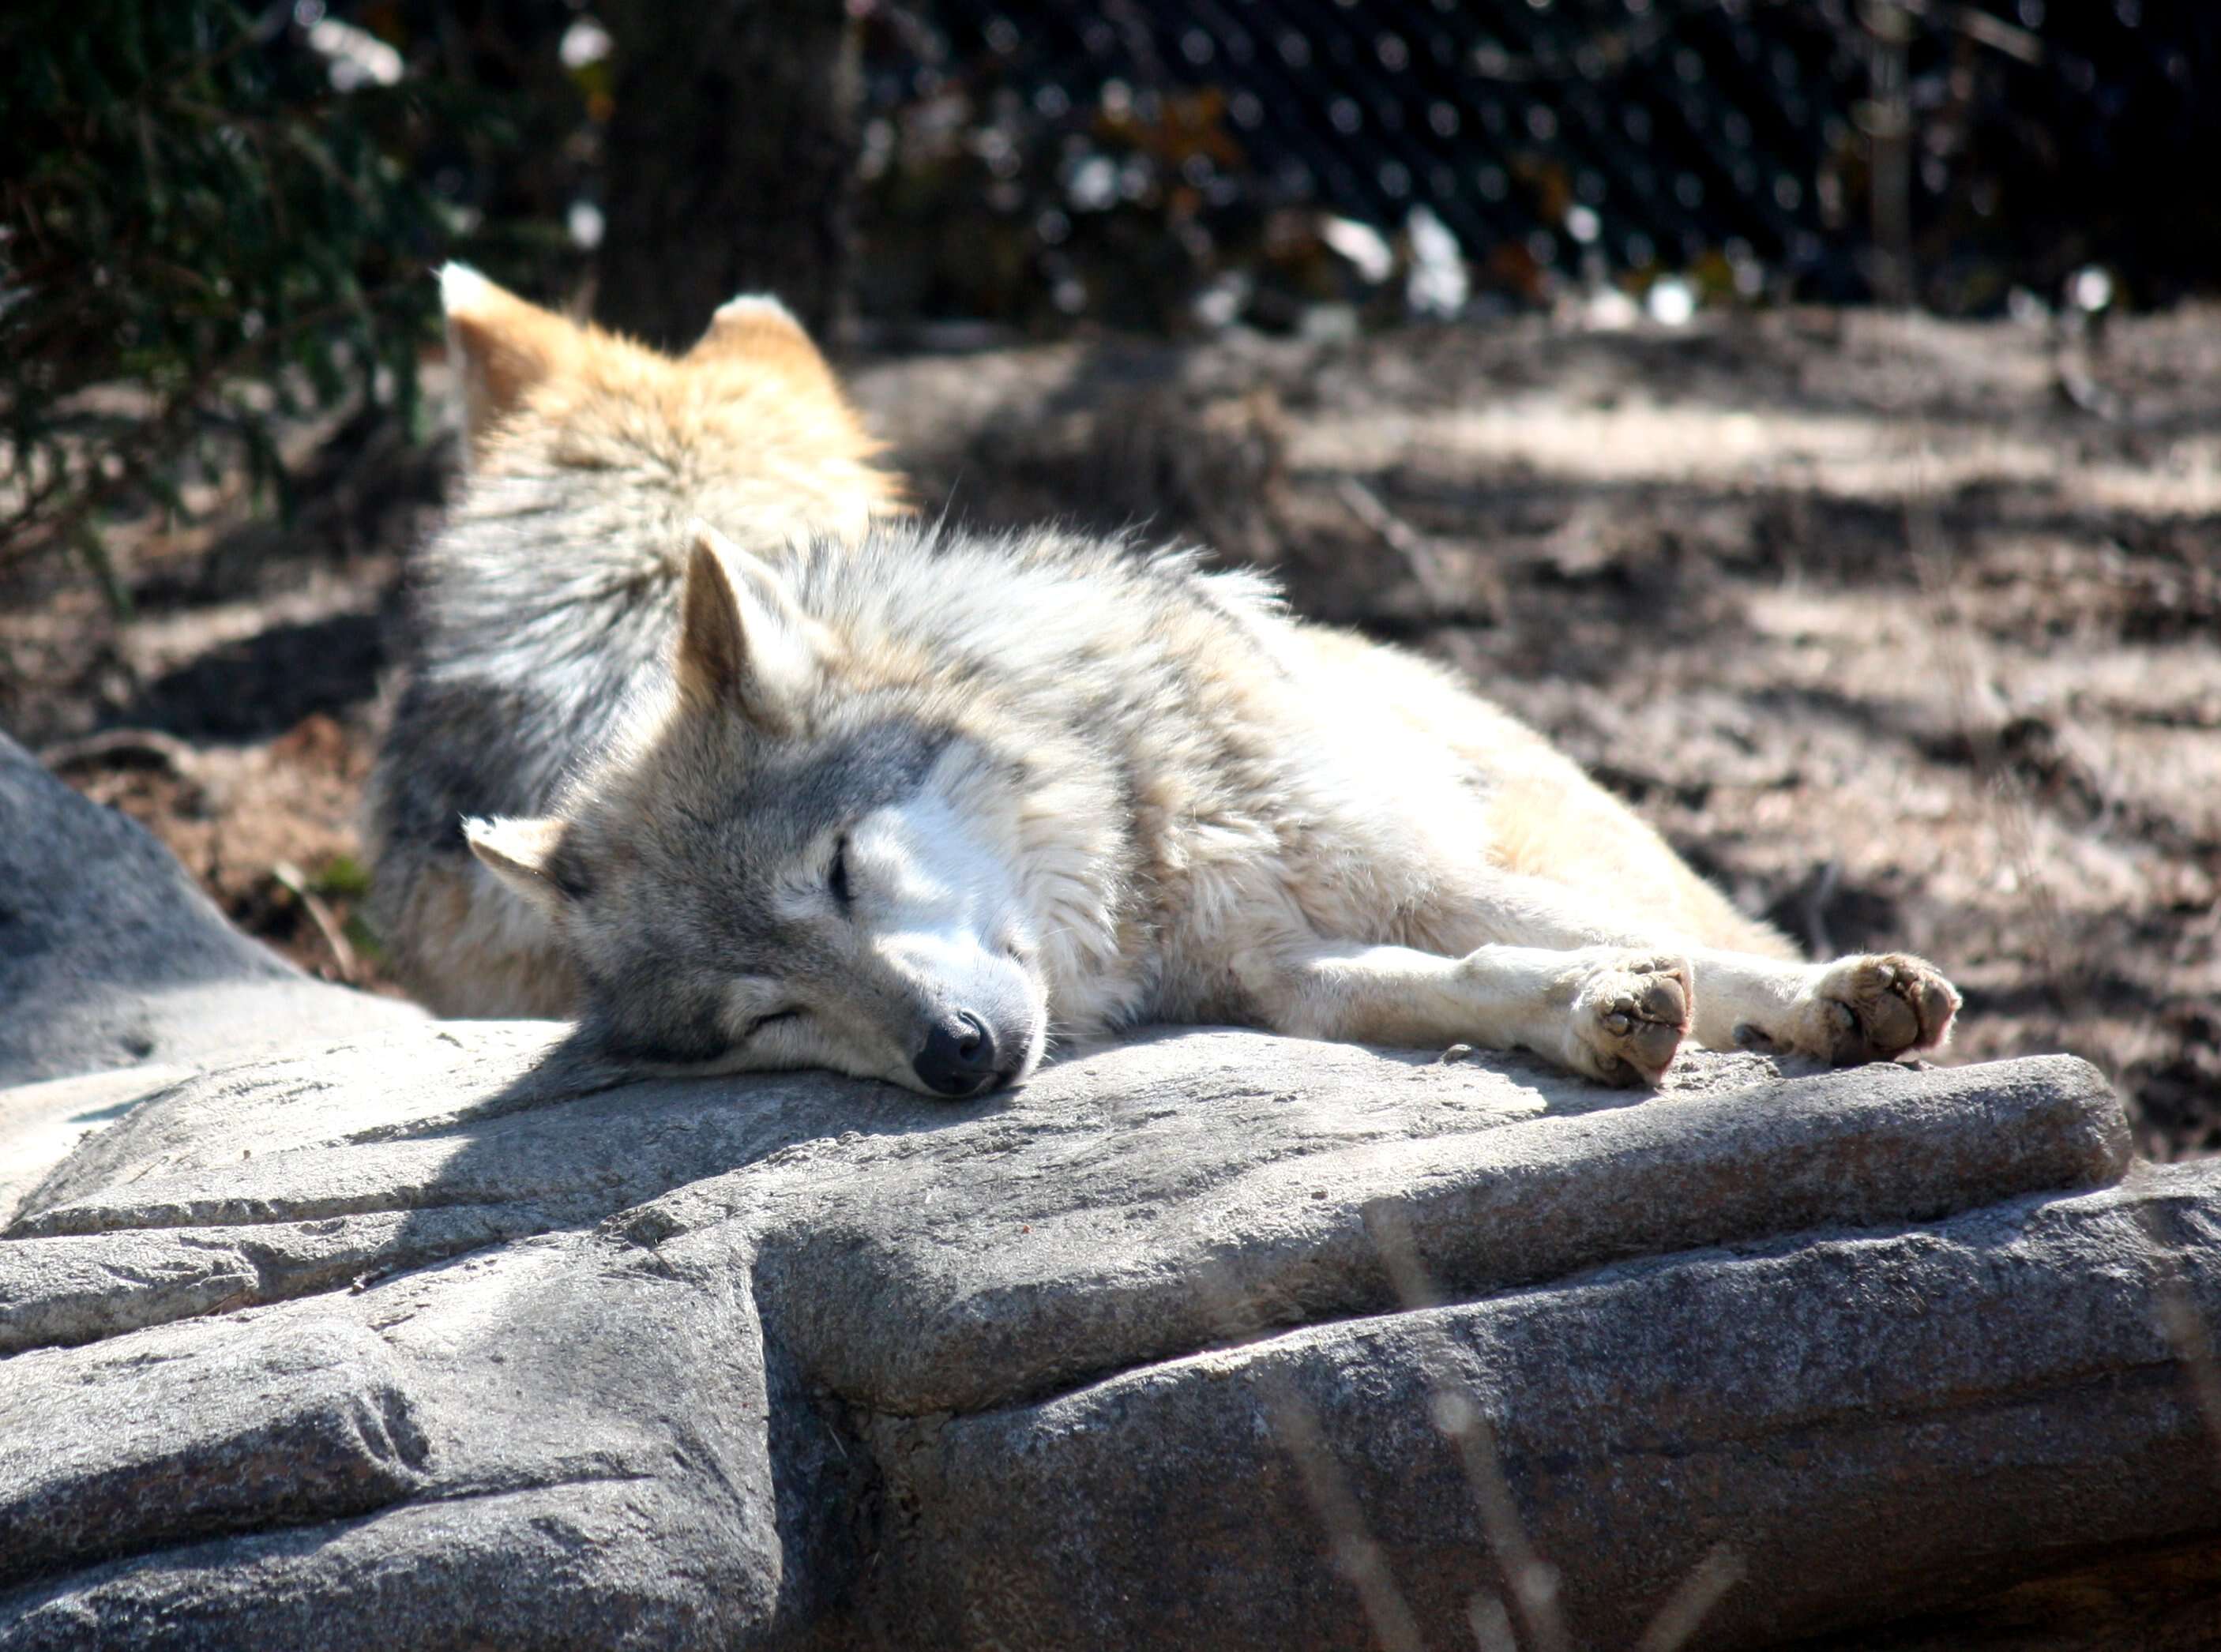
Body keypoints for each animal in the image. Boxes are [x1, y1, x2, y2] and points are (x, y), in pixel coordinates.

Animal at [368, 267, 1963, 1097]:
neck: (1142, 841)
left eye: (839, 870)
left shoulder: (1399, 872)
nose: (954, 1057)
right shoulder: (1278, 972)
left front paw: (1819, 993)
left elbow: (1640, 941)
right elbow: (1473, 979)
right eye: (766, 1016)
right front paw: (1590, 1012)